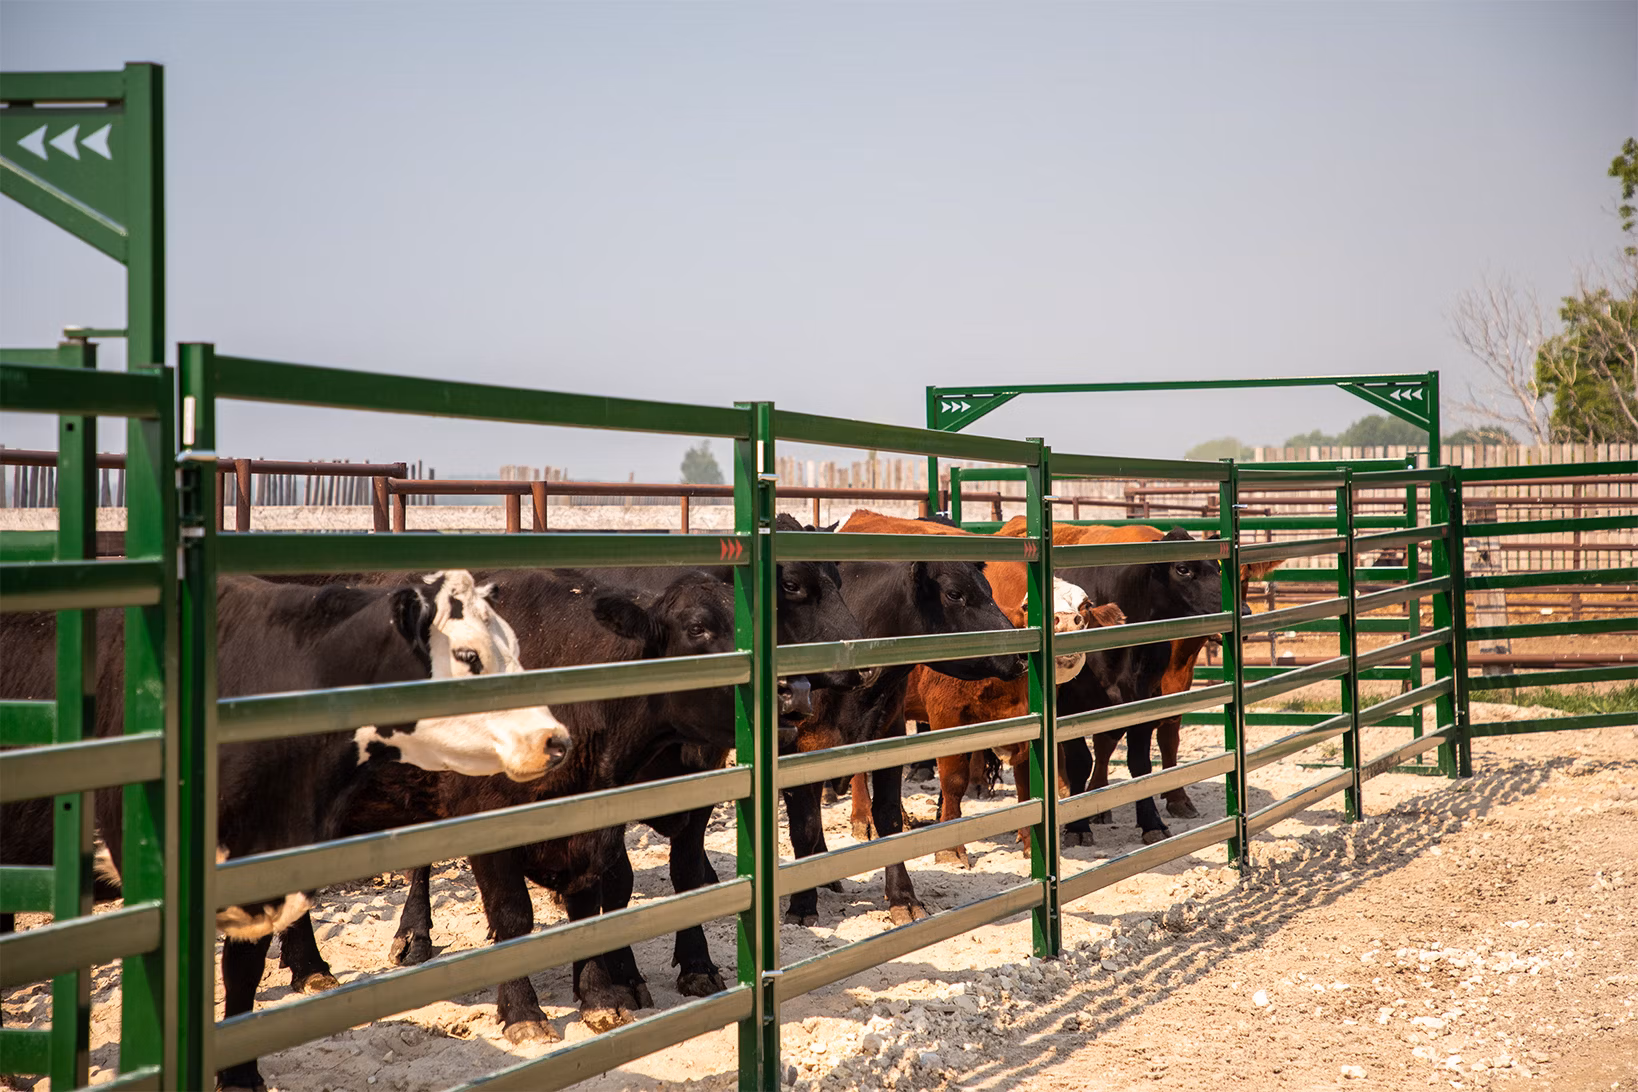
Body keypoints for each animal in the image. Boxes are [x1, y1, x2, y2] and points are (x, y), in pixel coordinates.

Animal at [780, 510, 1028, 927]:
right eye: (955, 594)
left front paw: (902, 897)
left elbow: (889, 818)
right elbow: (803, 825)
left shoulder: (888, 735)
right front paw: (801, 904)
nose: (1021, 653)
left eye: (989, 589)